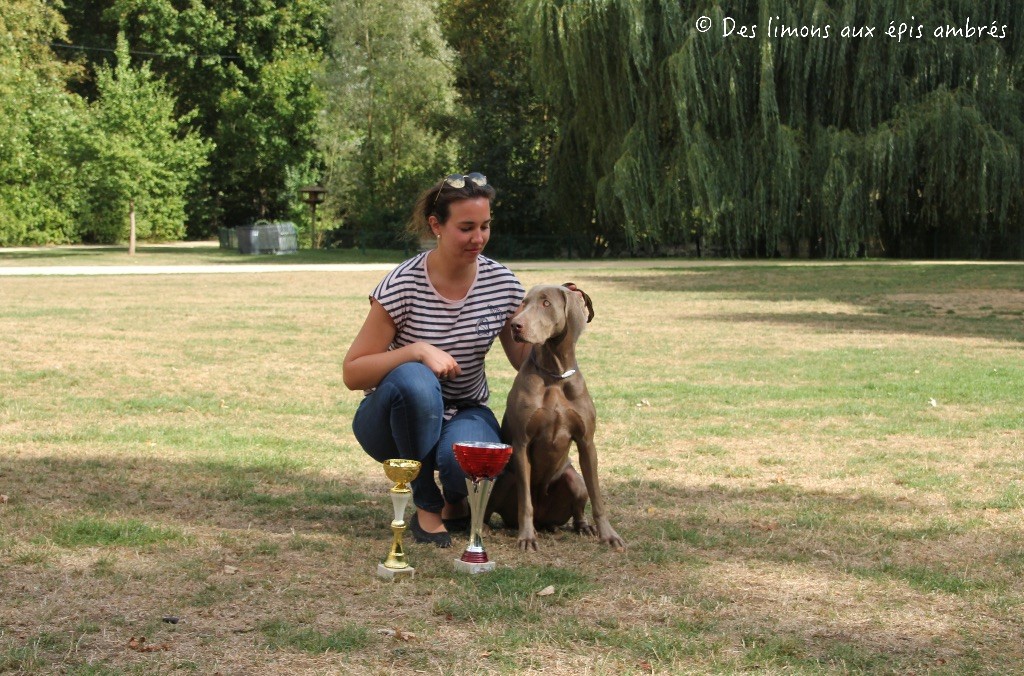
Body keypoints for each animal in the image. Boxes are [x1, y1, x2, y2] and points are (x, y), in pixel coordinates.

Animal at [487, 282, 622, 553]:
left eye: (546, 303)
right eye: (524, 303)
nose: (515, 325)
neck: (555, 374)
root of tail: (544, 521)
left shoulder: (587, 442)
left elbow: (597, 498)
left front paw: (608, 535)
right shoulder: (521, 443)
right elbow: (525, 502)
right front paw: (527, 538)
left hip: (574, 481)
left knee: (579, 499)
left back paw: (583, 527)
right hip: (504, 479)